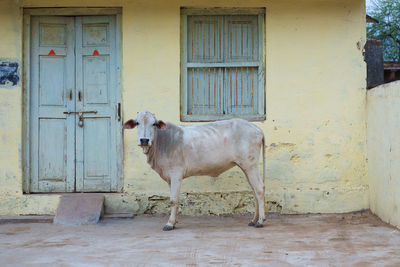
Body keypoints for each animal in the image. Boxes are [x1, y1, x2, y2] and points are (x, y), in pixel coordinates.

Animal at [123, 112, 264, 231]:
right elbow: (173, 199)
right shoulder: (169, 178)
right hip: (246, 167)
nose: (144, 140)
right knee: (254, 192)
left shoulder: (176, 173)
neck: (162, 143)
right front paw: (174, 221)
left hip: (250, 165)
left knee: (259, 190)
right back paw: (253, 220)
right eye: (137, 123)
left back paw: (260, 221)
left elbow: (173, 200)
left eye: (153, 124)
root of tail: (256, 128)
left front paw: (169, 223)